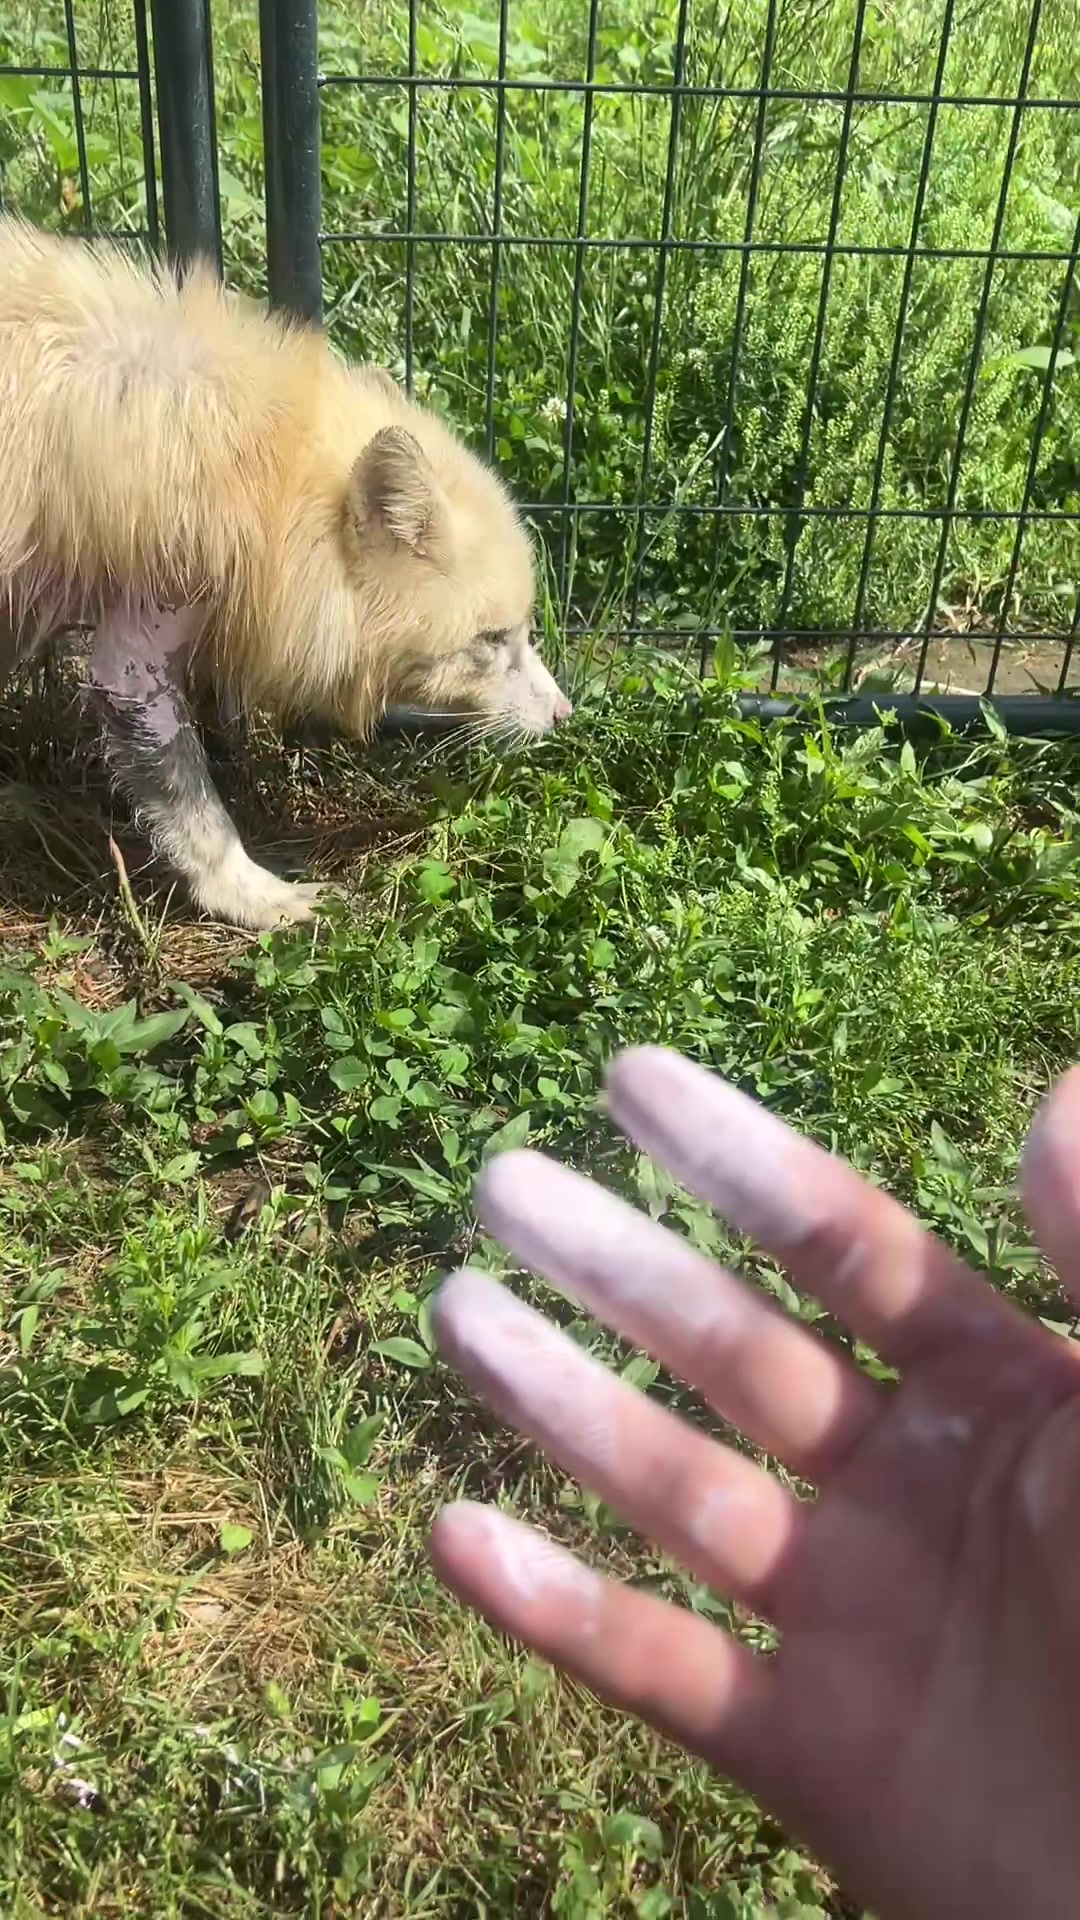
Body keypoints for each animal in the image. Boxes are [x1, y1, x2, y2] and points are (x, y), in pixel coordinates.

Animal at [0, 217, 570, 929]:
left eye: (521, 632)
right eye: (490, 641)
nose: (566, 716)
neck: (261, 476)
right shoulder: (130, 663)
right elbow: (199, 814)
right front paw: (257, 899)